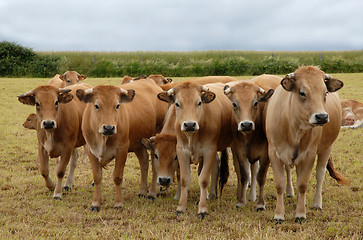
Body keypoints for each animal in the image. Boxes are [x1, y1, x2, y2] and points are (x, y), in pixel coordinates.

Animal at [76, 78, 169, 210]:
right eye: (96, 105)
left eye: (117, 105)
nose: (109, 128)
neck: (103, 138)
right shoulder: (91, 151)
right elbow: (97, 178)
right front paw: (95, 203)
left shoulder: (122, 150)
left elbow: (117, 177)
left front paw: (119, 203)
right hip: (138, 144)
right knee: (144, 161)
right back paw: (142, 191)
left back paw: (152, 192)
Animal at [159, 81, 233, 218]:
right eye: (177, 103)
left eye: (199, 102)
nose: (189, 125)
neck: (192, 136)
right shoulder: (182, 152)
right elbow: (184, 179)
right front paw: (181, 208)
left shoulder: (209, 151)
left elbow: (203, 179)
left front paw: (202, 209)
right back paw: (212, 195)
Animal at [264, 65, 350, 223]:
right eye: (302, 92)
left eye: (325, 92)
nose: (322, 116)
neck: (293, 128)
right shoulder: (274, 153)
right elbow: (280, 184)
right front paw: (279, 215)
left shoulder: (309, 154)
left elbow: (303, 184)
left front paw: (300, 214)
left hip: (326, 148)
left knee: (320, 173)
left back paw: (316, 203)